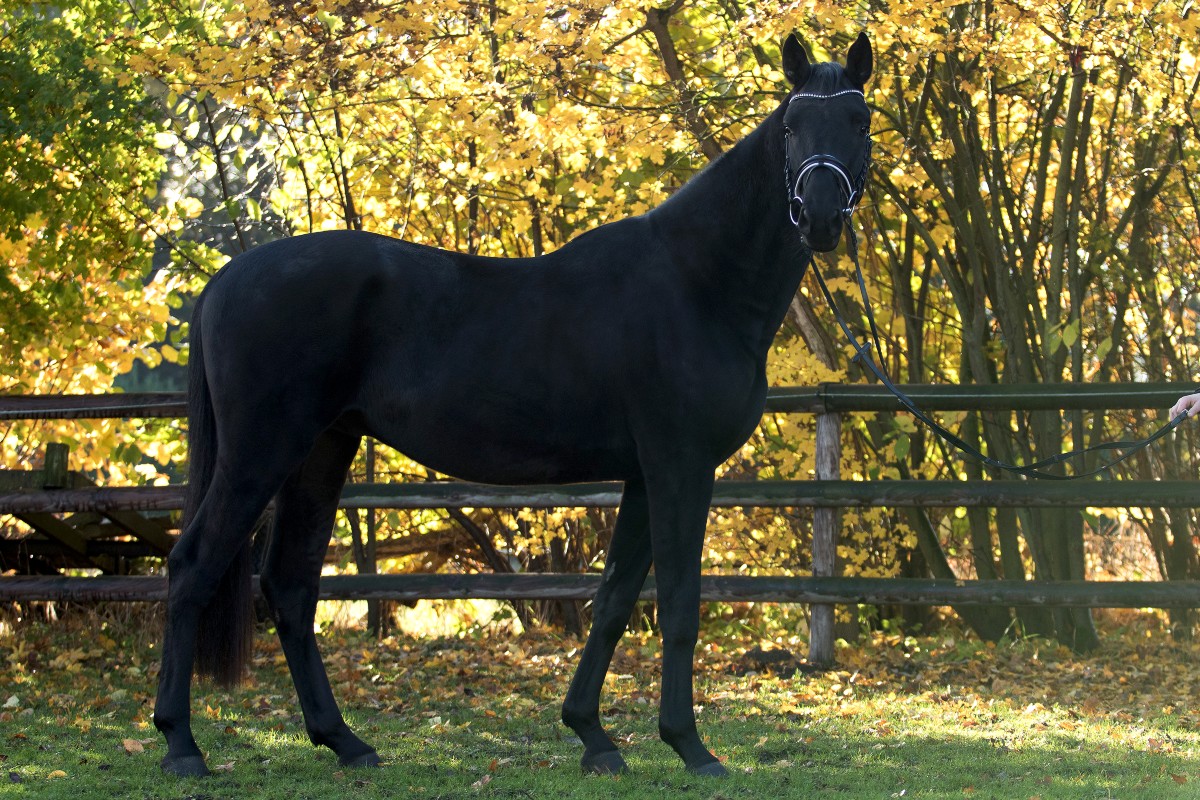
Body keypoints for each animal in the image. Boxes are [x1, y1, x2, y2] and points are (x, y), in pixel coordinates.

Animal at [153, 32, 874, 779]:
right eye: (792, 126)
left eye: (860, 121)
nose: (821, 216)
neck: (696, 279)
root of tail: (226, 279)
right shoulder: (681, 466)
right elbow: (678, 602)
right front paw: (691, 747)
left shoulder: (646, 474)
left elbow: (614, 598)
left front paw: (592, 735)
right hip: (260, 453)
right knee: (194, 567)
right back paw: (181, 744)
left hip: (322, 450)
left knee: (291, 586)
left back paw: (344, 741)